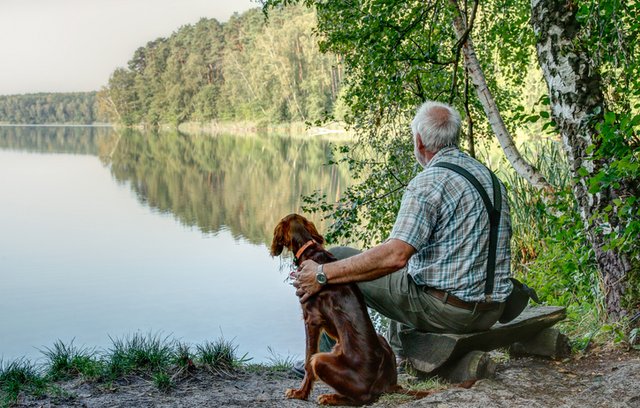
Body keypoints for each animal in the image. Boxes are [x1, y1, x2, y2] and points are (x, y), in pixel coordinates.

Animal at [272, 214, 416, 404]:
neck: (309, 249)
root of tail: (386, 386)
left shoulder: (312, 319)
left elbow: (308, 359)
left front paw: (300, 393)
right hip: (379, 339)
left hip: (321, 360)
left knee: (361, 398)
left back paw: (330, 397)